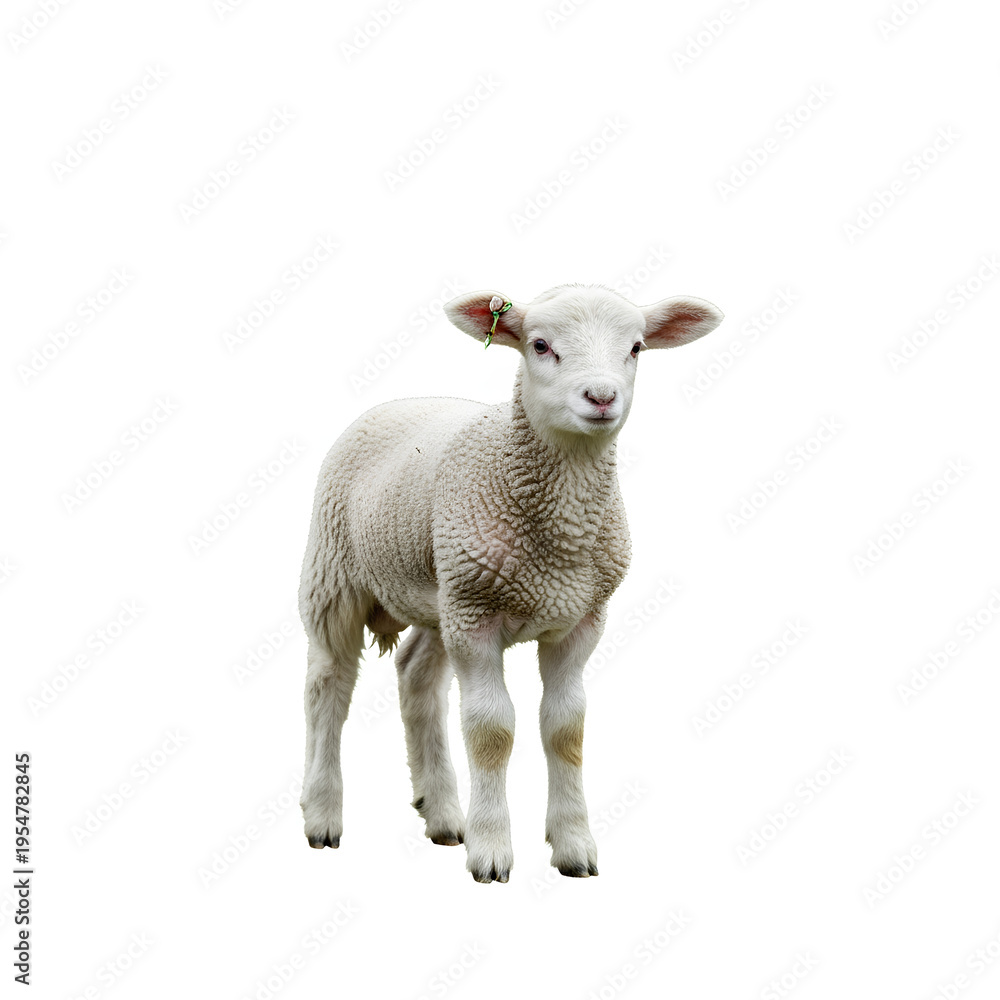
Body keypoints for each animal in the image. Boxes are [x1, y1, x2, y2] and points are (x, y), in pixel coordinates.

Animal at [298, 283, 723, 883]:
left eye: (637, 347)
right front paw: (492, 850)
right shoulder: (477, 620)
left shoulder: (579, 618)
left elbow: (566, 728)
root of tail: (403, 400)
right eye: (540, 345)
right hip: (336, 573)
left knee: (416, 678)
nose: (601, 397)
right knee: (327, 685)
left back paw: (443, 813)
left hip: (442, 591)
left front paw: (573, 845)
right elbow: (491, 730)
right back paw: (322, 814)